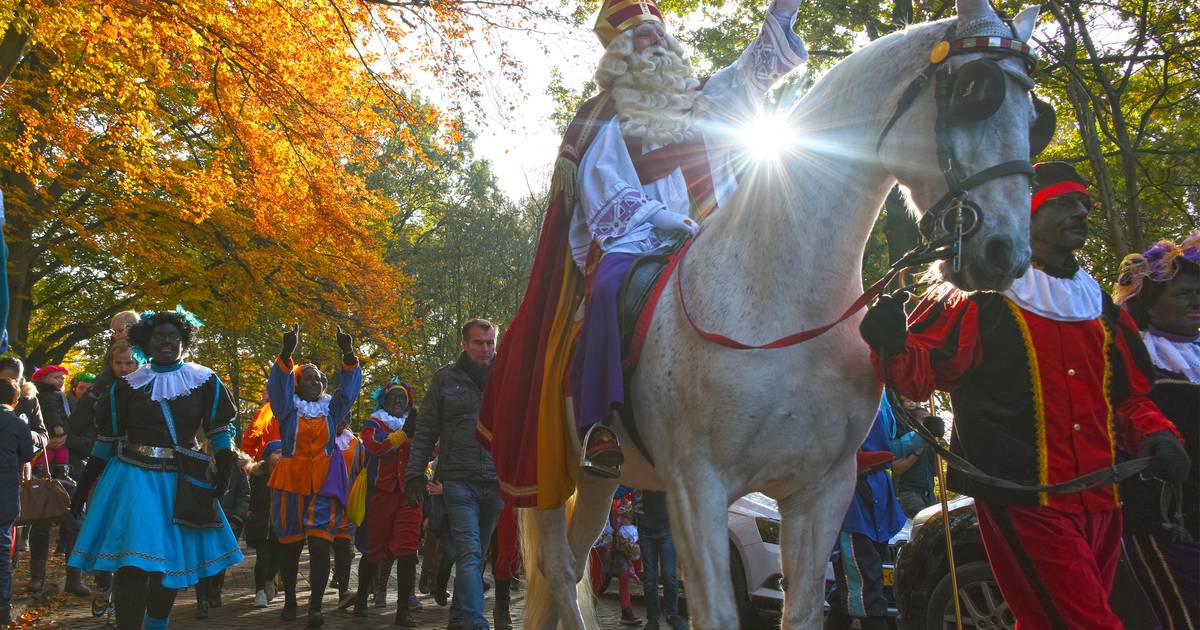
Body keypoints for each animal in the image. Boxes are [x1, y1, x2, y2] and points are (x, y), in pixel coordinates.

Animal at [525, 2, 1041, 624]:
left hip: (600, 481)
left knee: (575, 565)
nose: (1006, 253)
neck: (780, 298)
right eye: (974, 92)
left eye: (1038, 116)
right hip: (548, 472)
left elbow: (803, 610)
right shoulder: (696, 489)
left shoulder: (821, 491)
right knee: (559, 567)